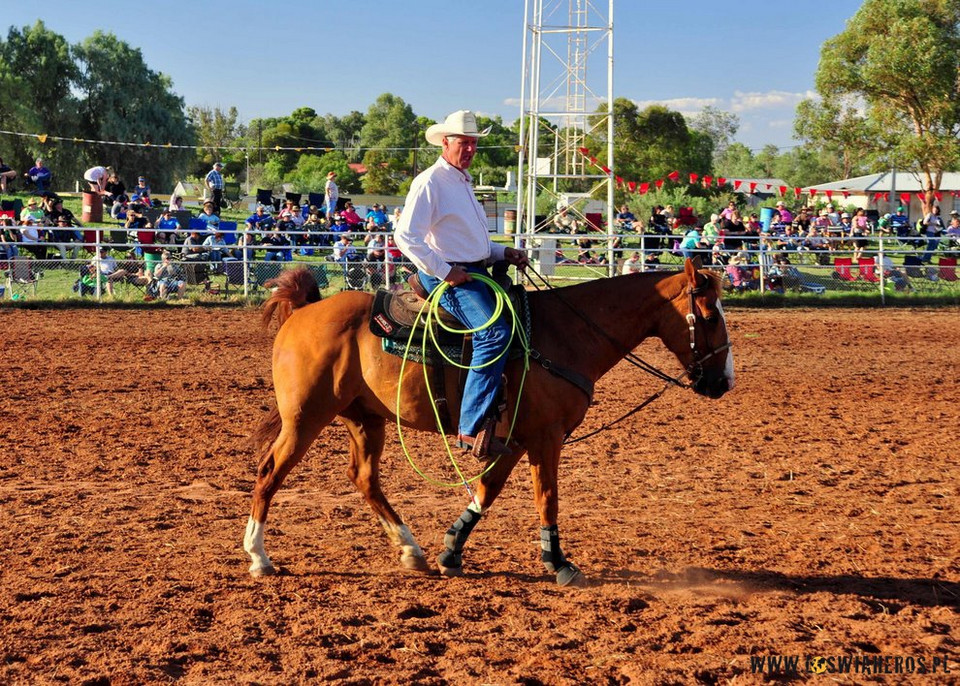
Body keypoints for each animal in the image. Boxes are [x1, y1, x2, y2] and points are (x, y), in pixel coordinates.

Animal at [244, 258, 732, 584]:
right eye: (709, 316)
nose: (723, 382)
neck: (566, 335)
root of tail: (304, 310)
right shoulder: (546, 437)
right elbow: (547, 498)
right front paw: (559, 563)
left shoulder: (513, 439)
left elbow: (486, 490)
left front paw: (450, 551)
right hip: (305, 417)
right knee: (270, 472)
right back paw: (259, 557)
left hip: (365, 419)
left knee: (364, 478)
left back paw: (411, 550)